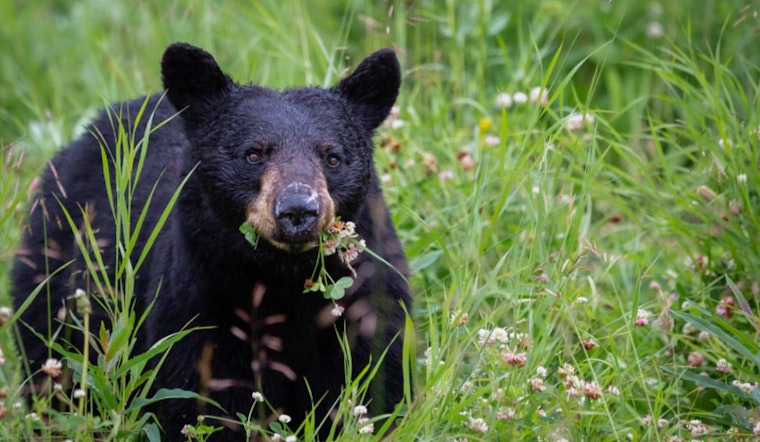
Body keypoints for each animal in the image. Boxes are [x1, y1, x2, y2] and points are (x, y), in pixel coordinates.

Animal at [11, 42, 411, 441]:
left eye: (333, 157)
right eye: (253, 154)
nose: (298, 209)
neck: (283, 278)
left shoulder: (366, 300)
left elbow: (375, 382)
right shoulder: (198, 301)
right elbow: (203, 397)